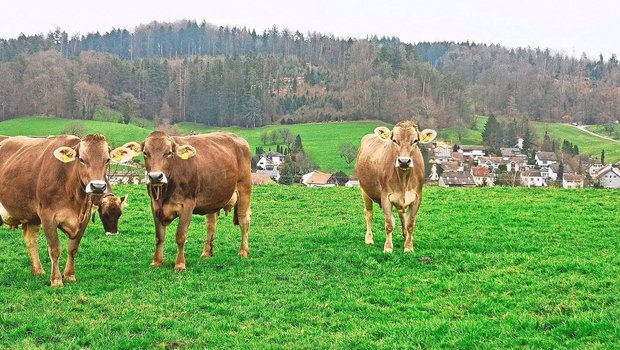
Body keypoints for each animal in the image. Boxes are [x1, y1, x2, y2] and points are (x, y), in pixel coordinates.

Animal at [0, 135, 134, 286]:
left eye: (107, 160)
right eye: (81, 159)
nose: (98, 187)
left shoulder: (84, 217)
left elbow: (73, 248)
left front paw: (70, 275)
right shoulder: (47, 216)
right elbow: (54, 249)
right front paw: (56, 280)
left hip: (30, 215)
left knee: (31, 240)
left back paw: (38, 271)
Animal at [121, 131, 252, 270]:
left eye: (169, 153)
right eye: (145, 153)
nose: (155, 177)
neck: (165, 194)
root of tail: (236, 137)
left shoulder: (187, 205)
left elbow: (180, 236)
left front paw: (180, 264)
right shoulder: (154, 206)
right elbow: (159, 236)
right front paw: (156, 261)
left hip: (244, 188)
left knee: (244, 220)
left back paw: (243, 252)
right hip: (213, 197)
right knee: (211, 223)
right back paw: (206, 253)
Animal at [356, 121, 438, 253]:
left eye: (415, 140)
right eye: (394, 140)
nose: (404, 161)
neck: (403, 179)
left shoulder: (417, 197)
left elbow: (410, 224)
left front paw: (408, 247)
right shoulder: (385, 196)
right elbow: (389, 224)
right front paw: (388, 248)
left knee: (402, 215)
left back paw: (406, 236)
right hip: (364, 190)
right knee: (369, 214)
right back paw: (369, 239)